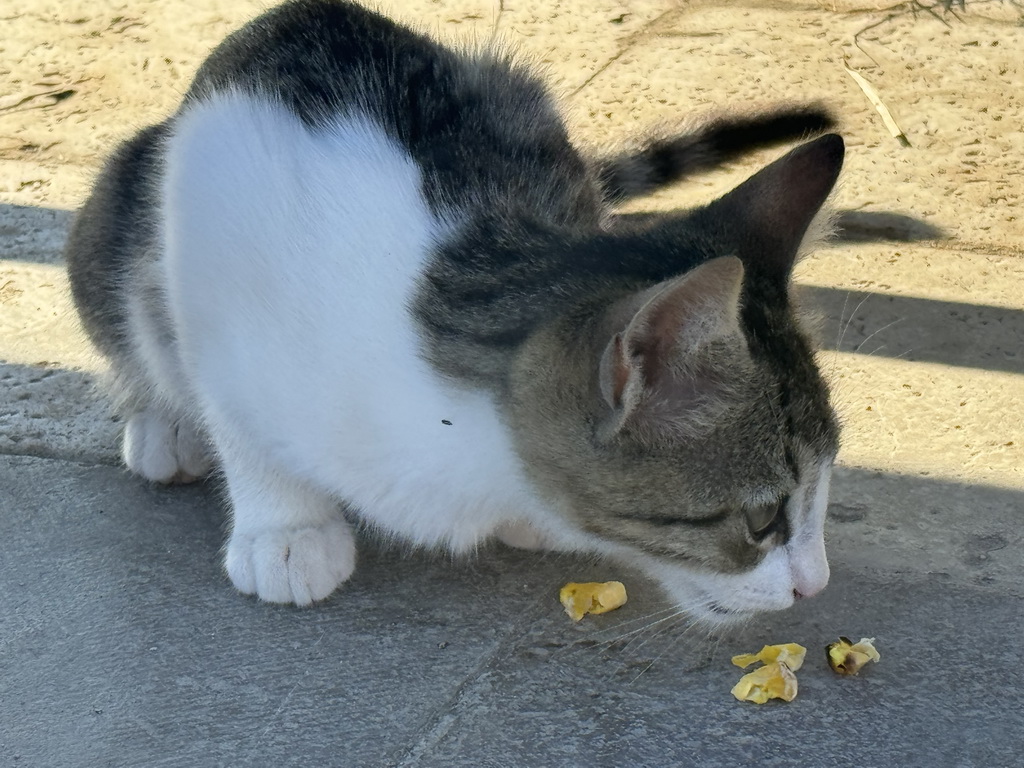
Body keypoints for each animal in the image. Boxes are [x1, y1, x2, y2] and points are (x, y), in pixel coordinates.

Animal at [68, 0, 843, 626]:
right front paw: (283, 527)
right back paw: (163, 423)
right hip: (125, 200)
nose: (815, 585)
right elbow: (236, 415)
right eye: (762, 519)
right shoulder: (216, 261)